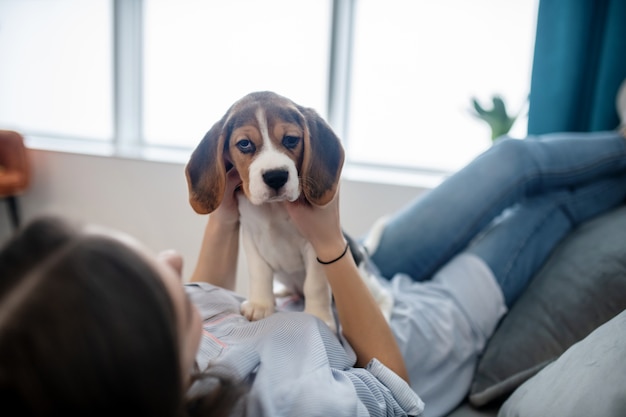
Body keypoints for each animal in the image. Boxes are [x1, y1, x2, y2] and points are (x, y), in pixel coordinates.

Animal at [184, 91, 390, 328]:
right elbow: (259, 273)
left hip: (364, 276)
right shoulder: (251, 237)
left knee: (385, 295)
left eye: (291, 139)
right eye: (244, 144)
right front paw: (260, 305)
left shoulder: (315, 244)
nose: (276, 176)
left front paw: (319, 316)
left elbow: (315, 285)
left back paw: (384, 312)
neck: (273, 208)